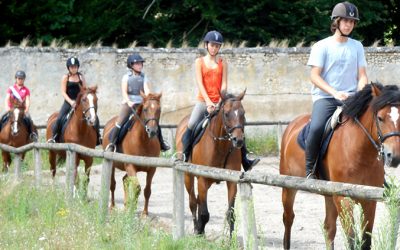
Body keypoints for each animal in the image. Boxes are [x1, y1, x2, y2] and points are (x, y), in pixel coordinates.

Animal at [176, 91, 247, 235]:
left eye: (243, 113)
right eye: (226, 114)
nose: (238, 140)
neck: (219, 146)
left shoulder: (232, 181)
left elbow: (230, 214)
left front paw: (230, 239)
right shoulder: (202, 180)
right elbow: (204, 214)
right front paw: (199, 232)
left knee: (197, 200)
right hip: (188, 177)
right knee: (193, 202)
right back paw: (196, 228)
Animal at [280, 83, 400, 249]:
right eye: (380, 118)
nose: (393, 157)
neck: (359, 153)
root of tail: (293, 124)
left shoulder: (369, 200)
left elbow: (365, 241)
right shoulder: (343, 199)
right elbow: (351, 240)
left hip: (329, 194)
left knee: (329, 228)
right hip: (289, 187)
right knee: (288, 218)